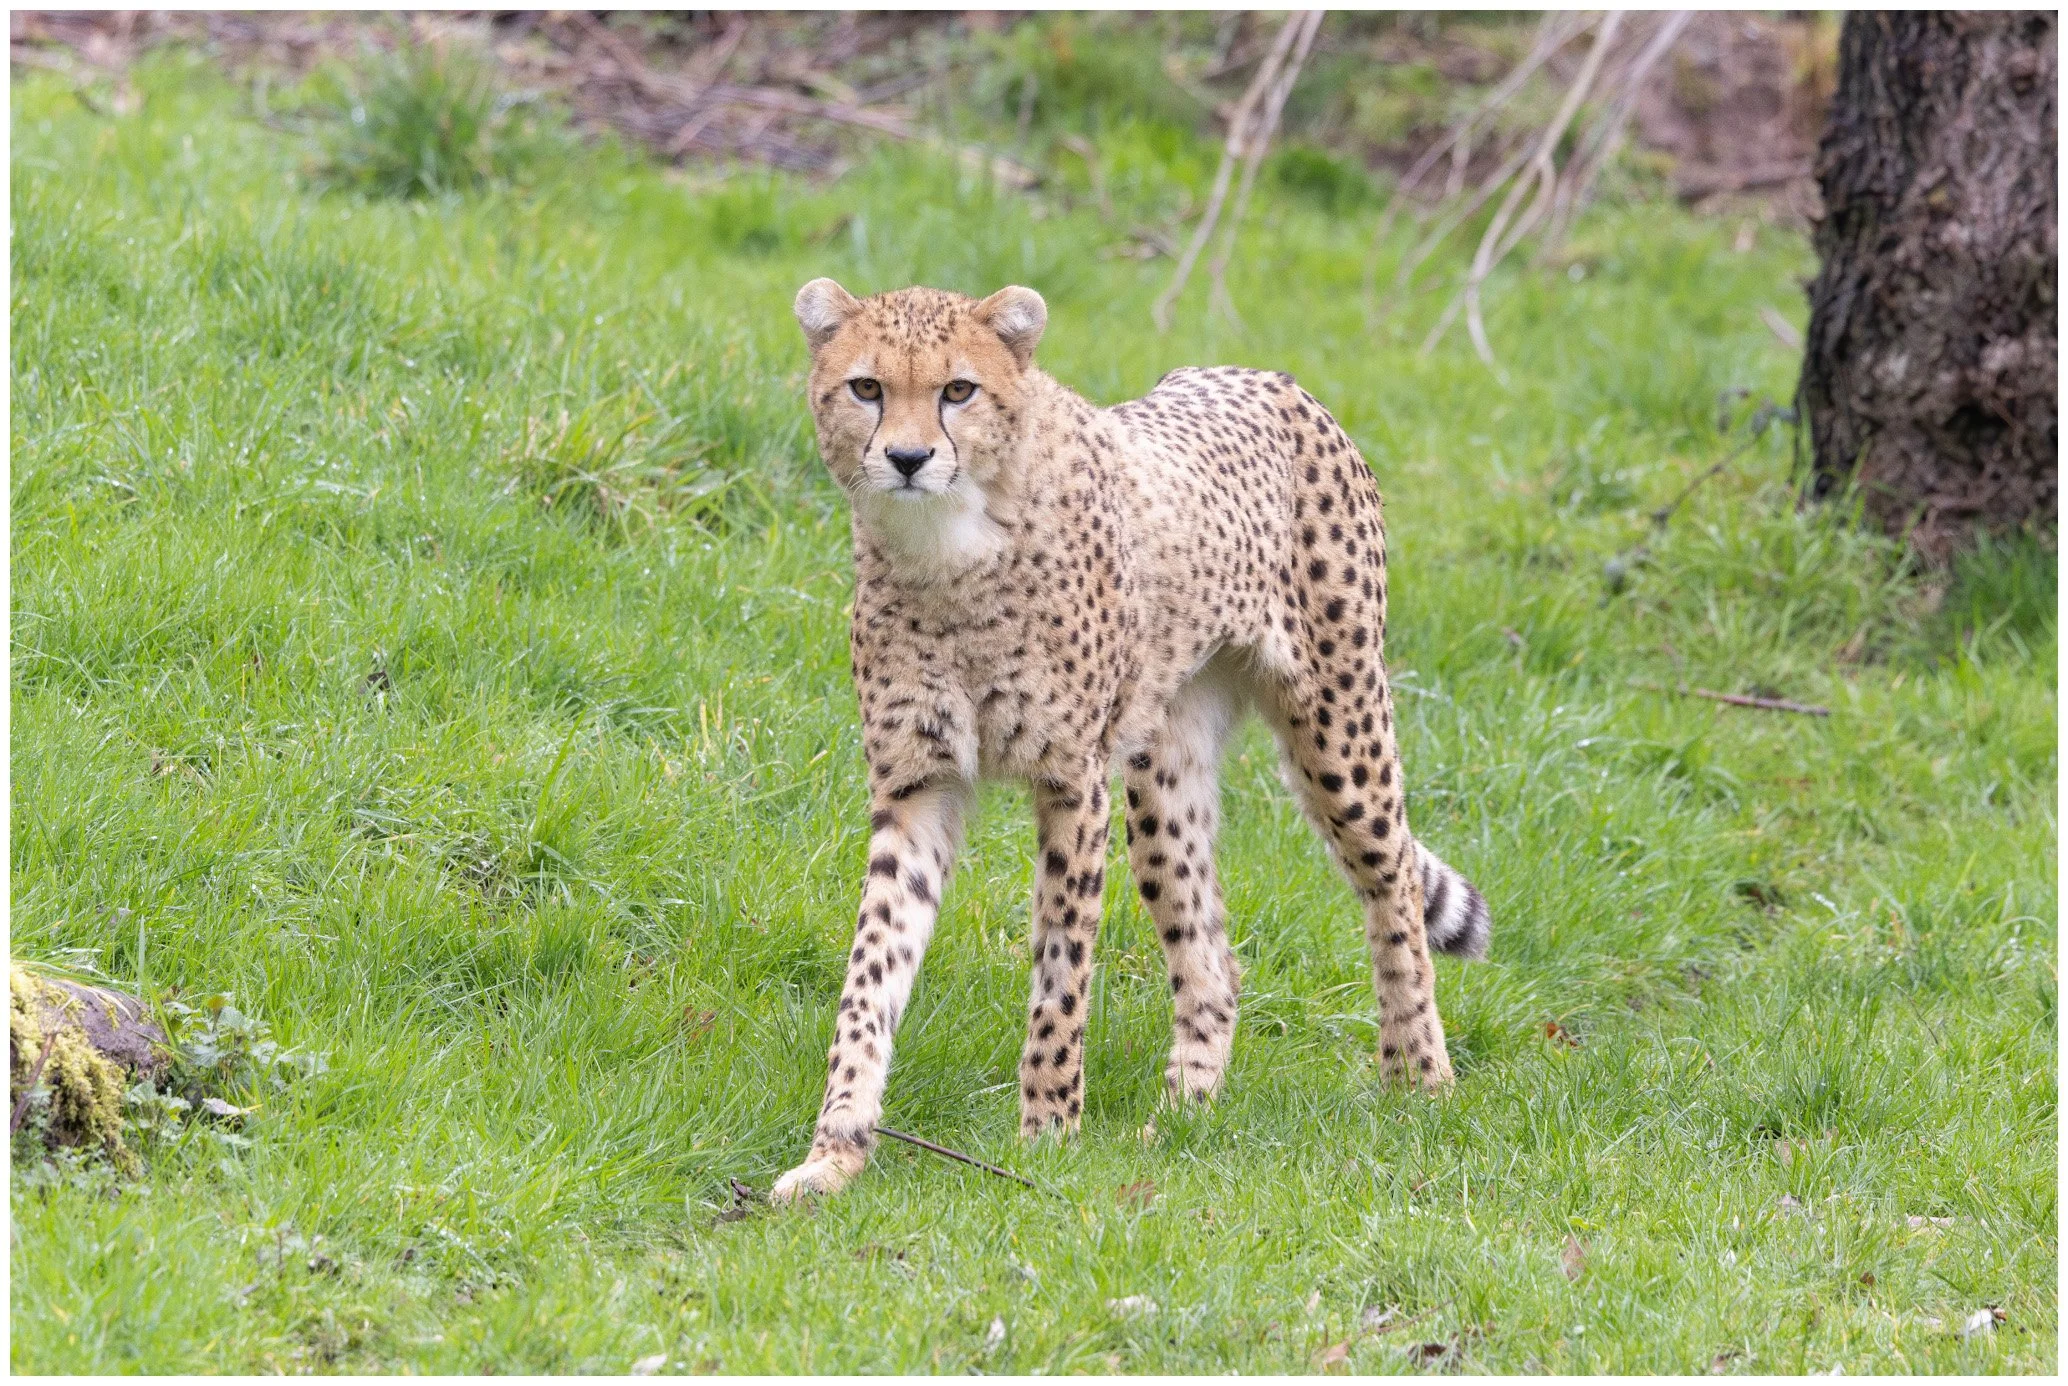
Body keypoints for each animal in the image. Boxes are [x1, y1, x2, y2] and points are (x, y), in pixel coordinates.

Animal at [769, 278, 1491, 1203]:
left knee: (1392, 879)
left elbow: (1060, 975)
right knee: (1213, 961)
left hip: (1340, 723)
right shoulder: (915, 787)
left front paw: (1046, 1141)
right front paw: (836, 1149)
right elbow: (871, 974)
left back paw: (1418, 1076)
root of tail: (1262, 375)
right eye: (866, 388)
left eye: (958, 390)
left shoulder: (1071, 781)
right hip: (1163, 775)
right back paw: (1180, 1119)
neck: (951, 553)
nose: (906, 458)